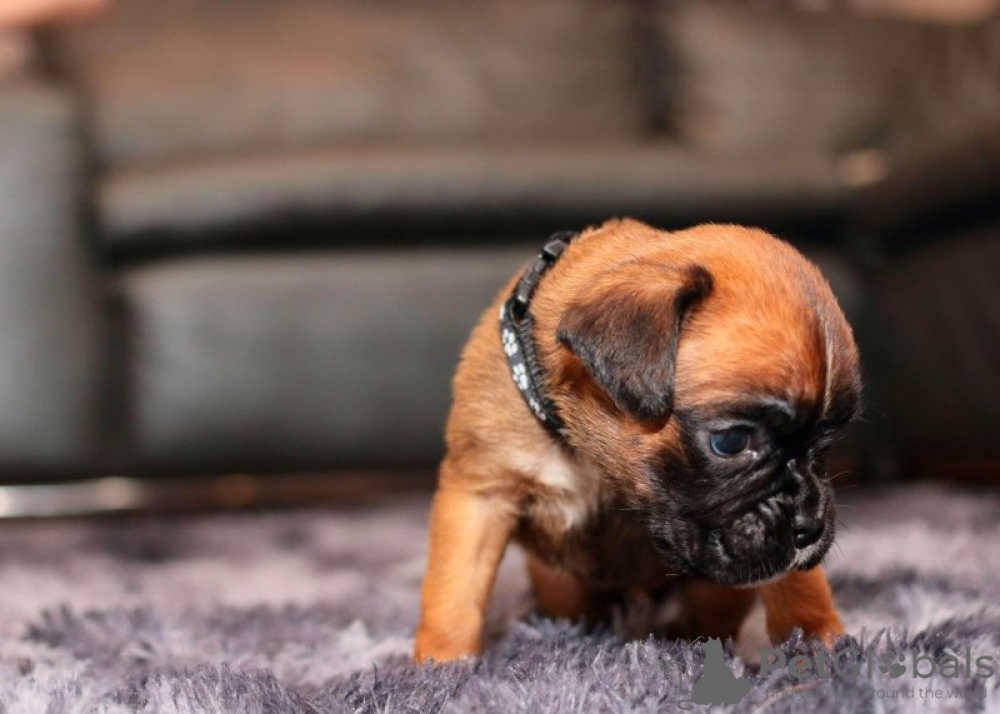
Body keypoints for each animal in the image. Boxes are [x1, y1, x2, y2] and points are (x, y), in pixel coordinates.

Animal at [415, 219, 861, 663]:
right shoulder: (480, 497)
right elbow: (454, 591)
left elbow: (797, 588)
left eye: (826, 443)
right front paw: (444, 664)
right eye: (731, 441)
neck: (586, 455)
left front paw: (821, 642)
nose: (810, 526)